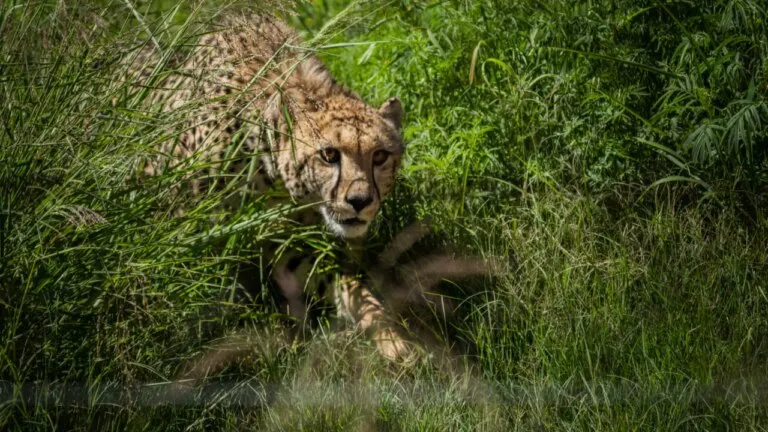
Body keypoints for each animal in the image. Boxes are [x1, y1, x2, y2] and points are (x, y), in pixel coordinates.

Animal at [121, 14, 411, 362]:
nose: (359, 201)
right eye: (329, 155)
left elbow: (347, 288)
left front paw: (391, 338)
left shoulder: (288, 244)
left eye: (380, 156)